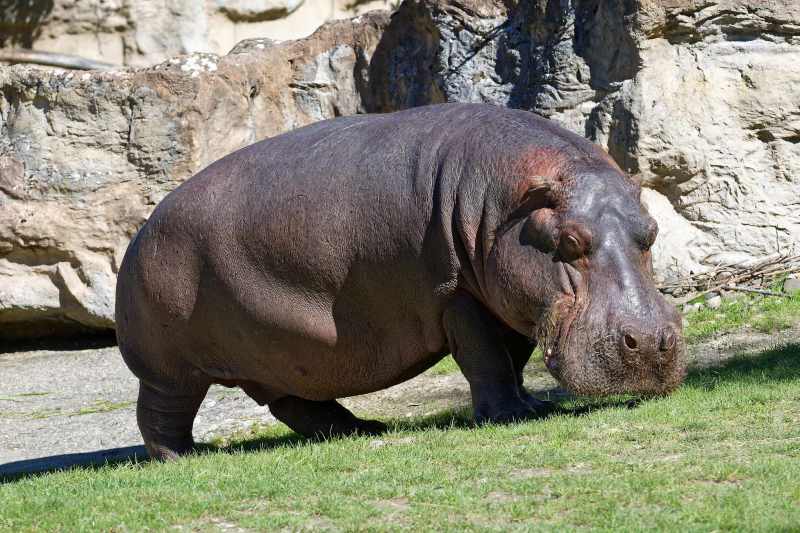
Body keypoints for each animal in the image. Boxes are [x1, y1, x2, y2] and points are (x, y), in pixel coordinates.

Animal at [115, 103, 686, 460]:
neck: (506, 204)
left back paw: (362, 428)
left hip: (279, 352)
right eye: (568, 241)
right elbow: (486, 358)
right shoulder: (457, 295)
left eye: (651, 232)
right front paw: (510, 415)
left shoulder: (507, 298)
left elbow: (513, 357)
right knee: (160, 414)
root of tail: (142, 230)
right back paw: (185, 457)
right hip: (170, 367)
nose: (649, 343)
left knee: (294, 401)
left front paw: (530, 404)